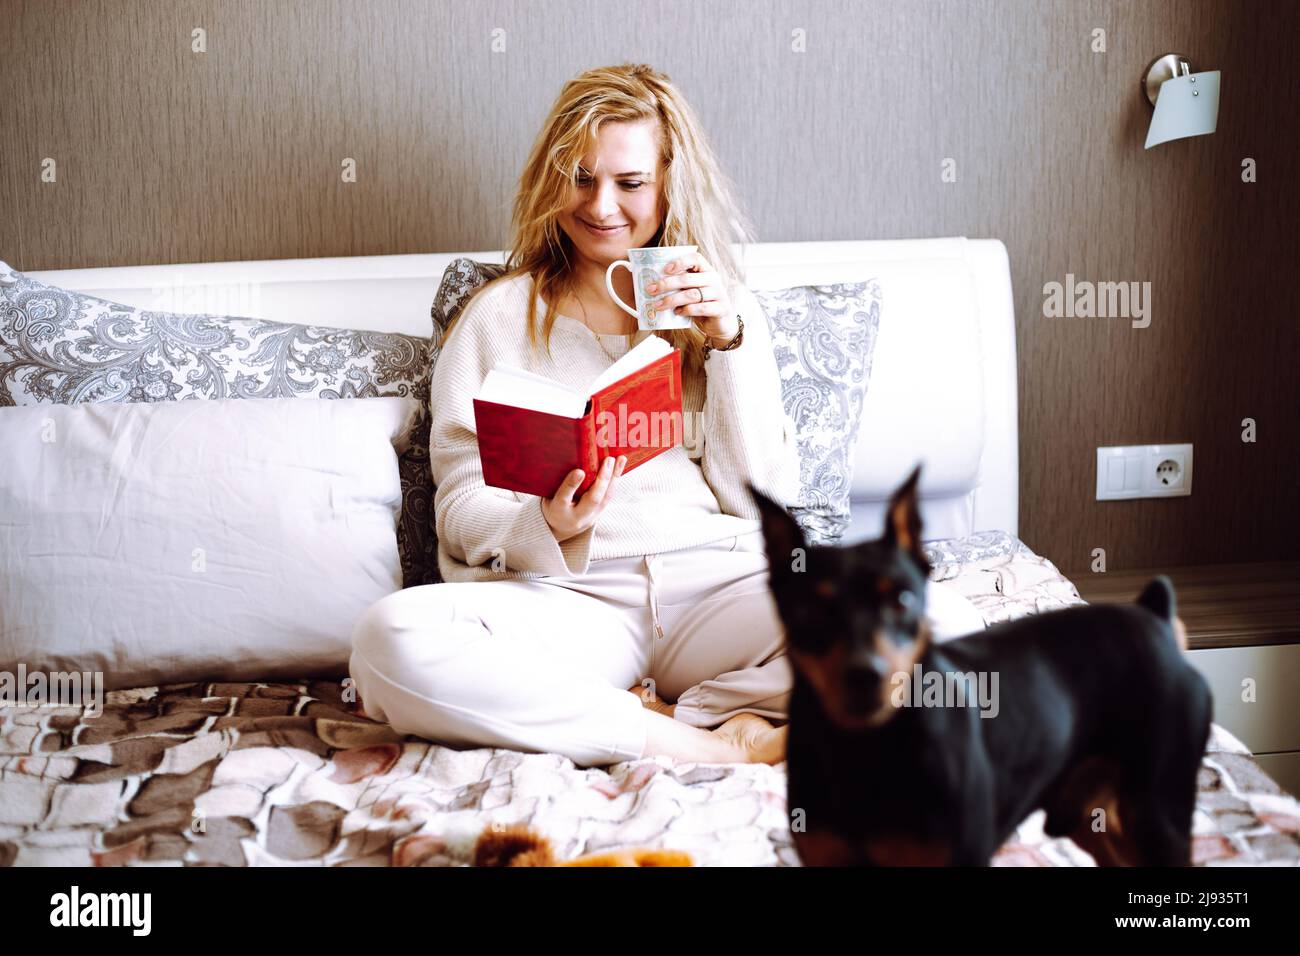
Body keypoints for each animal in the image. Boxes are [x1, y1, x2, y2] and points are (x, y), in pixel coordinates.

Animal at [748, 468, 1211, 868]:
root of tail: (1153, 618)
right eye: (808, 610)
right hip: (1088, 816)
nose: (865, 676)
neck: (863, 749)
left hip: (1158, 813)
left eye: (902, 599)